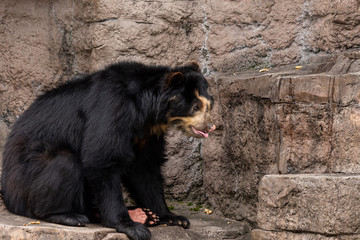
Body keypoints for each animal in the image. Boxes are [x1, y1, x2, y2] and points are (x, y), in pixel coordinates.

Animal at [1, 61, 215, 240]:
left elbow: (145, 169)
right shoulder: (112, 109)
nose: (210, 127)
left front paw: (172, 217)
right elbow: (101, 159)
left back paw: (143, 214)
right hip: (27, 180)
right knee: (64, 164)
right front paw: (131, 227)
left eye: (209, 105)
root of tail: (7, 193)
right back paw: (68, 216)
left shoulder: (147, 134)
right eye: (195, 106)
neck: (146, 112)